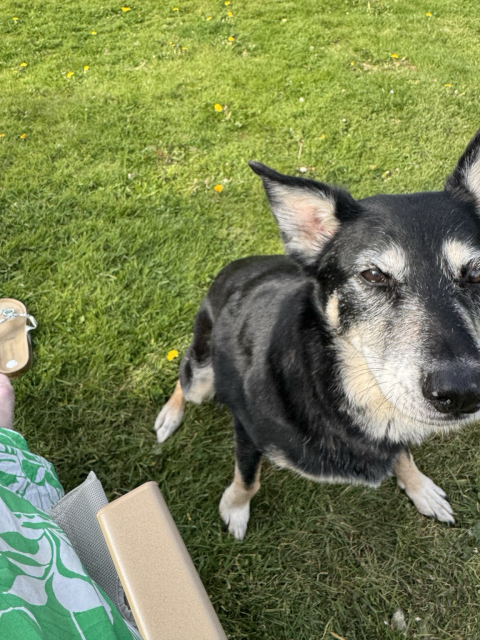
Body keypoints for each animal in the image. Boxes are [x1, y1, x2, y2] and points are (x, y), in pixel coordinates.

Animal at [155, 128, 480, 540]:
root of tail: (232, 267)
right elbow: (248, 478)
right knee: (184, 376)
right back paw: (169, 416)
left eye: (476, 272)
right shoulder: (247, 429)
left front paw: (419, 488)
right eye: (373, 275)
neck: (342, 388)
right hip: (202, 371)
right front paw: (235, 508)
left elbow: (403, 454)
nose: (463, 392)